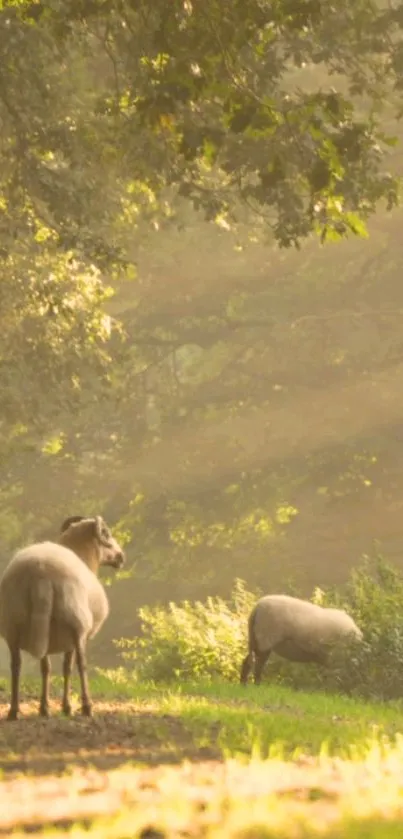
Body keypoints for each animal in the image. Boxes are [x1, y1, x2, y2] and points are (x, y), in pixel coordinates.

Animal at [0, 512, 124, 720]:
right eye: (106, 534)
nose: (121, 557)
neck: (83, 555)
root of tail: (41, 575)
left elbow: (46, 668)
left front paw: (44, 707)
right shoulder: (71, 638)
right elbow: (67, 667)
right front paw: (66, 706)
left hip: (13, 626)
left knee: (16, 665)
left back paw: (14, 710)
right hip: (76, 623)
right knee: (81, 664)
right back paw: (87, 706)